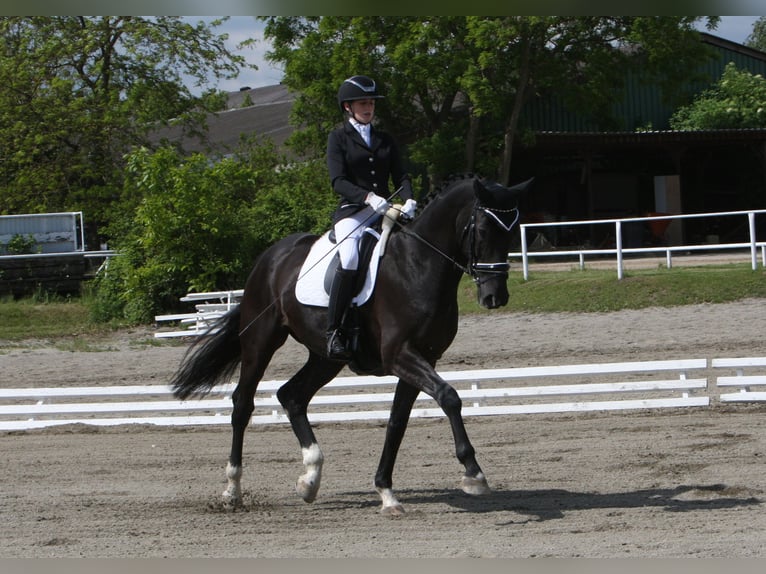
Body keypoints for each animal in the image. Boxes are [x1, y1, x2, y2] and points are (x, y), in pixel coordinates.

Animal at [170, 174, 532, 516]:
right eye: (483, 230)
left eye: (512, 233)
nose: (495, 297)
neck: (418, 265)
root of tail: (270, 256)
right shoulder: (400, 355)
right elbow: (449, 397)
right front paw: (473, 473)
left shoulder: (424, 358)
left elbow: (397, 422)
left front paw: (386, 493)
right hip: (261, 341)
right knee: (242, 405)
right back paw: (232, 492)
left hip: (326, 357)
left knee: (292, 395)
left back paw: (310, 480)